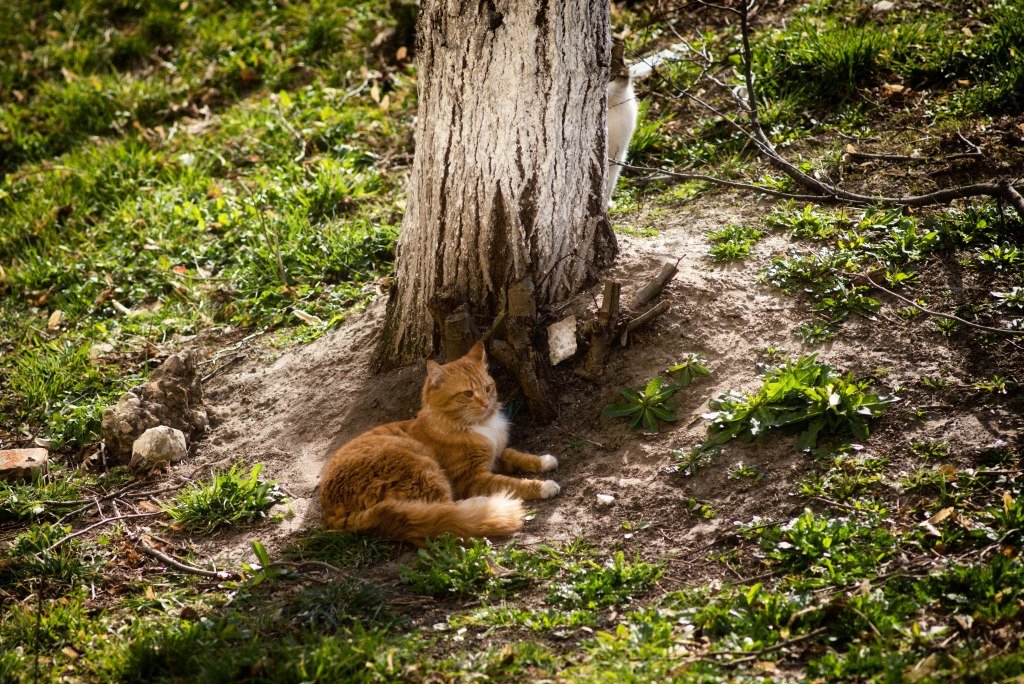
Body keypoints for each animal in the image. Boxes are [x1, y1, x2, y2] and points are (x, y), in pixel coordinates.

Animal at [319, 342, 561, 544]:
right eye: (467, 394)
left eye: (488, 388)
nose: (486, 403)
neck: (478, 425)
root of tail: (334, 513)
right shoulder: (472, 478)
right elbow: (511, 483)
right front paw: (543, 486)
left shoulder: (497, 454)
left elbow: (520, 456)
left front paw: (545, 461)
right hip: (421, 467)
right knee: (448, 512)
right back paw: (483, 505)